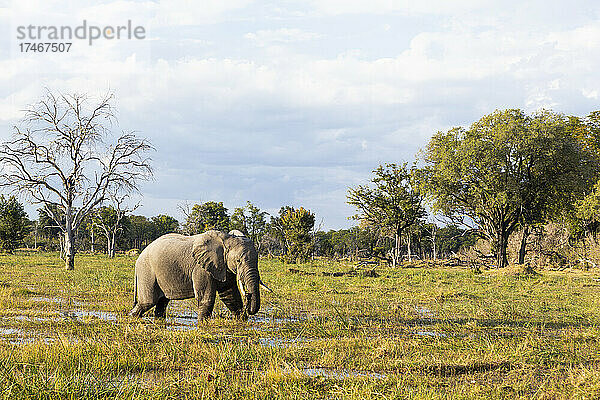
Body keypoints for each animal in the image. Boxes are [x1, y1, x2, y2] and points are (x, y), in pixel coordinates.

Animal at [129, 230, 262, 320]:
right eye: (238, 261)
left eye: (257, 260)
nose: (249, 295)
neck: (227, 238)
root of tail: (139, 257)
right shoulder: (201, 268)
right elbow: (206, 298)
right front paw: (203, 325)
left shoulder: (223, 266)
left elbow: (230, 295)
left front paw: (242, 321)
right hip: (147, 271)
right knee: (147, 302)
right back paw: (131, 317)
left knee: (161, 303)